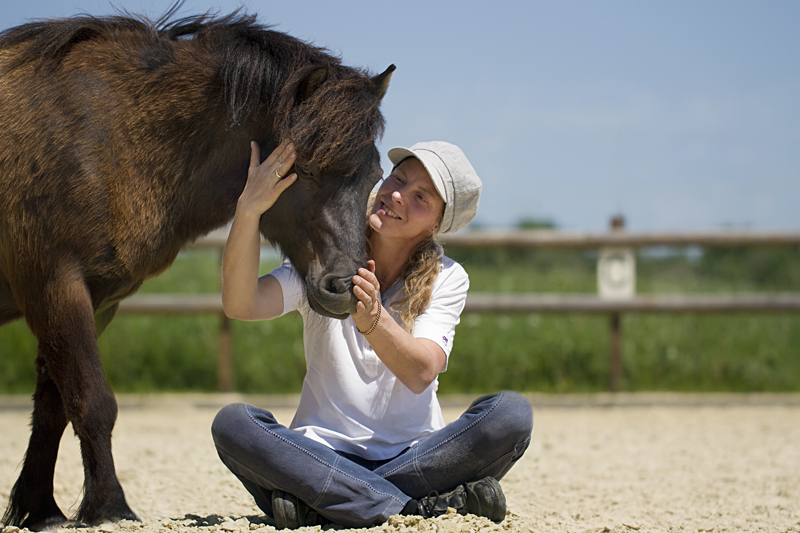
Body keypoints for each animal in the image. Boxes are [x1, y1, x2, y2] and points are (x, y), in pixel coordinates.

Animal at [0, 6, 394, 528]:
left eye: (374, 175)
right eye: (304, 169)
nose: (346, 286)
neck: (106, 134)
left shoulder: (92, 299)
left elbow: (54, 407)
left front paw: (39, 510)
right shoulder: (54, 283)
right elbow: (91, 401)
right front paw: (108, 507)